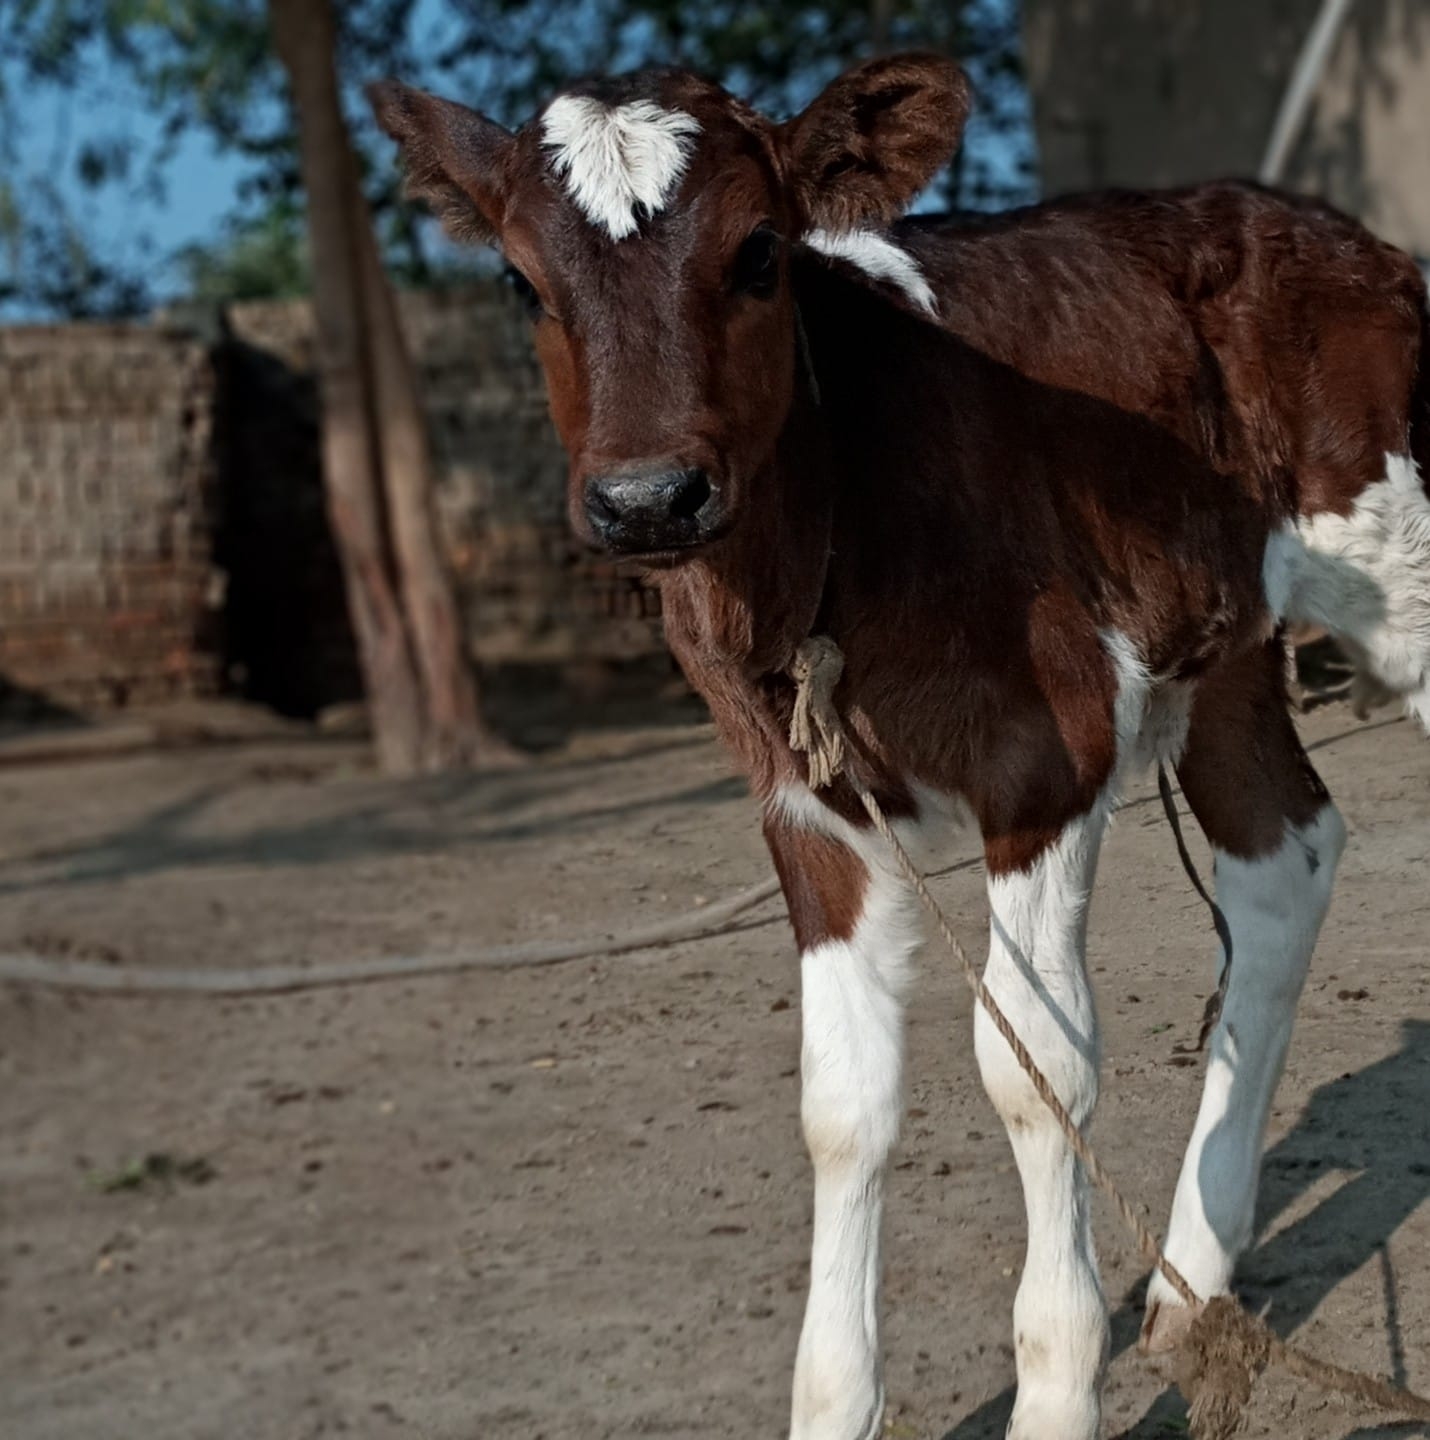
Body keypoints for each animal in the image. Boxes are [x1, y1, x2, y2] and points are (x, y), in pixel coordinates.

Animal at [371, 53, 1430, 1440]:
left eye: (759, 253)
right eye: (517, 280)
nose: (647, 500)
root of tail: (1329, 235)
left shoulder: (1048, 755)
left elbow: (1033, 1068)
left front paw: (1054, 1388)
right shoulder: (803, 805)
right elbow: (840, 1105)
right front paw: (835, 1400)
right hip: (1227, 641)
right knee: (1280, 856)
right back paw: (1194, 1281)